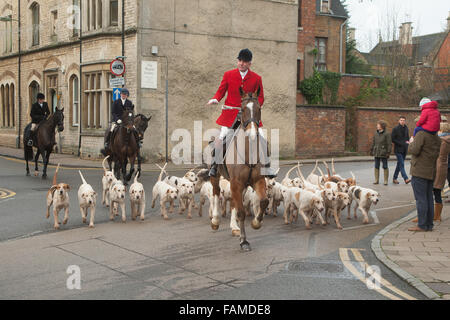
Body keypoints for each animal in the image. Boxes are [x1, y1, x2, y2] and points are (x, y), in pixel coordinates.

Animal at [209, 88, 268, 252]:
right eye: (242, 109)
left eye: (259, 109)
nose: (252, 134)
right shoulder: (236, 183)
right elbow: (241, 212)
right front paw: (244, 241)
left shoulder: (257, 181)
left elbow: (264, 201)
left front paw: (256, 223)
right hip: (217, 177)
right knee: (216, 193)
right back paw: (215, 220)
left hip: (241, 186)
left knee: (235, 202)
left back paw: (234, 227)